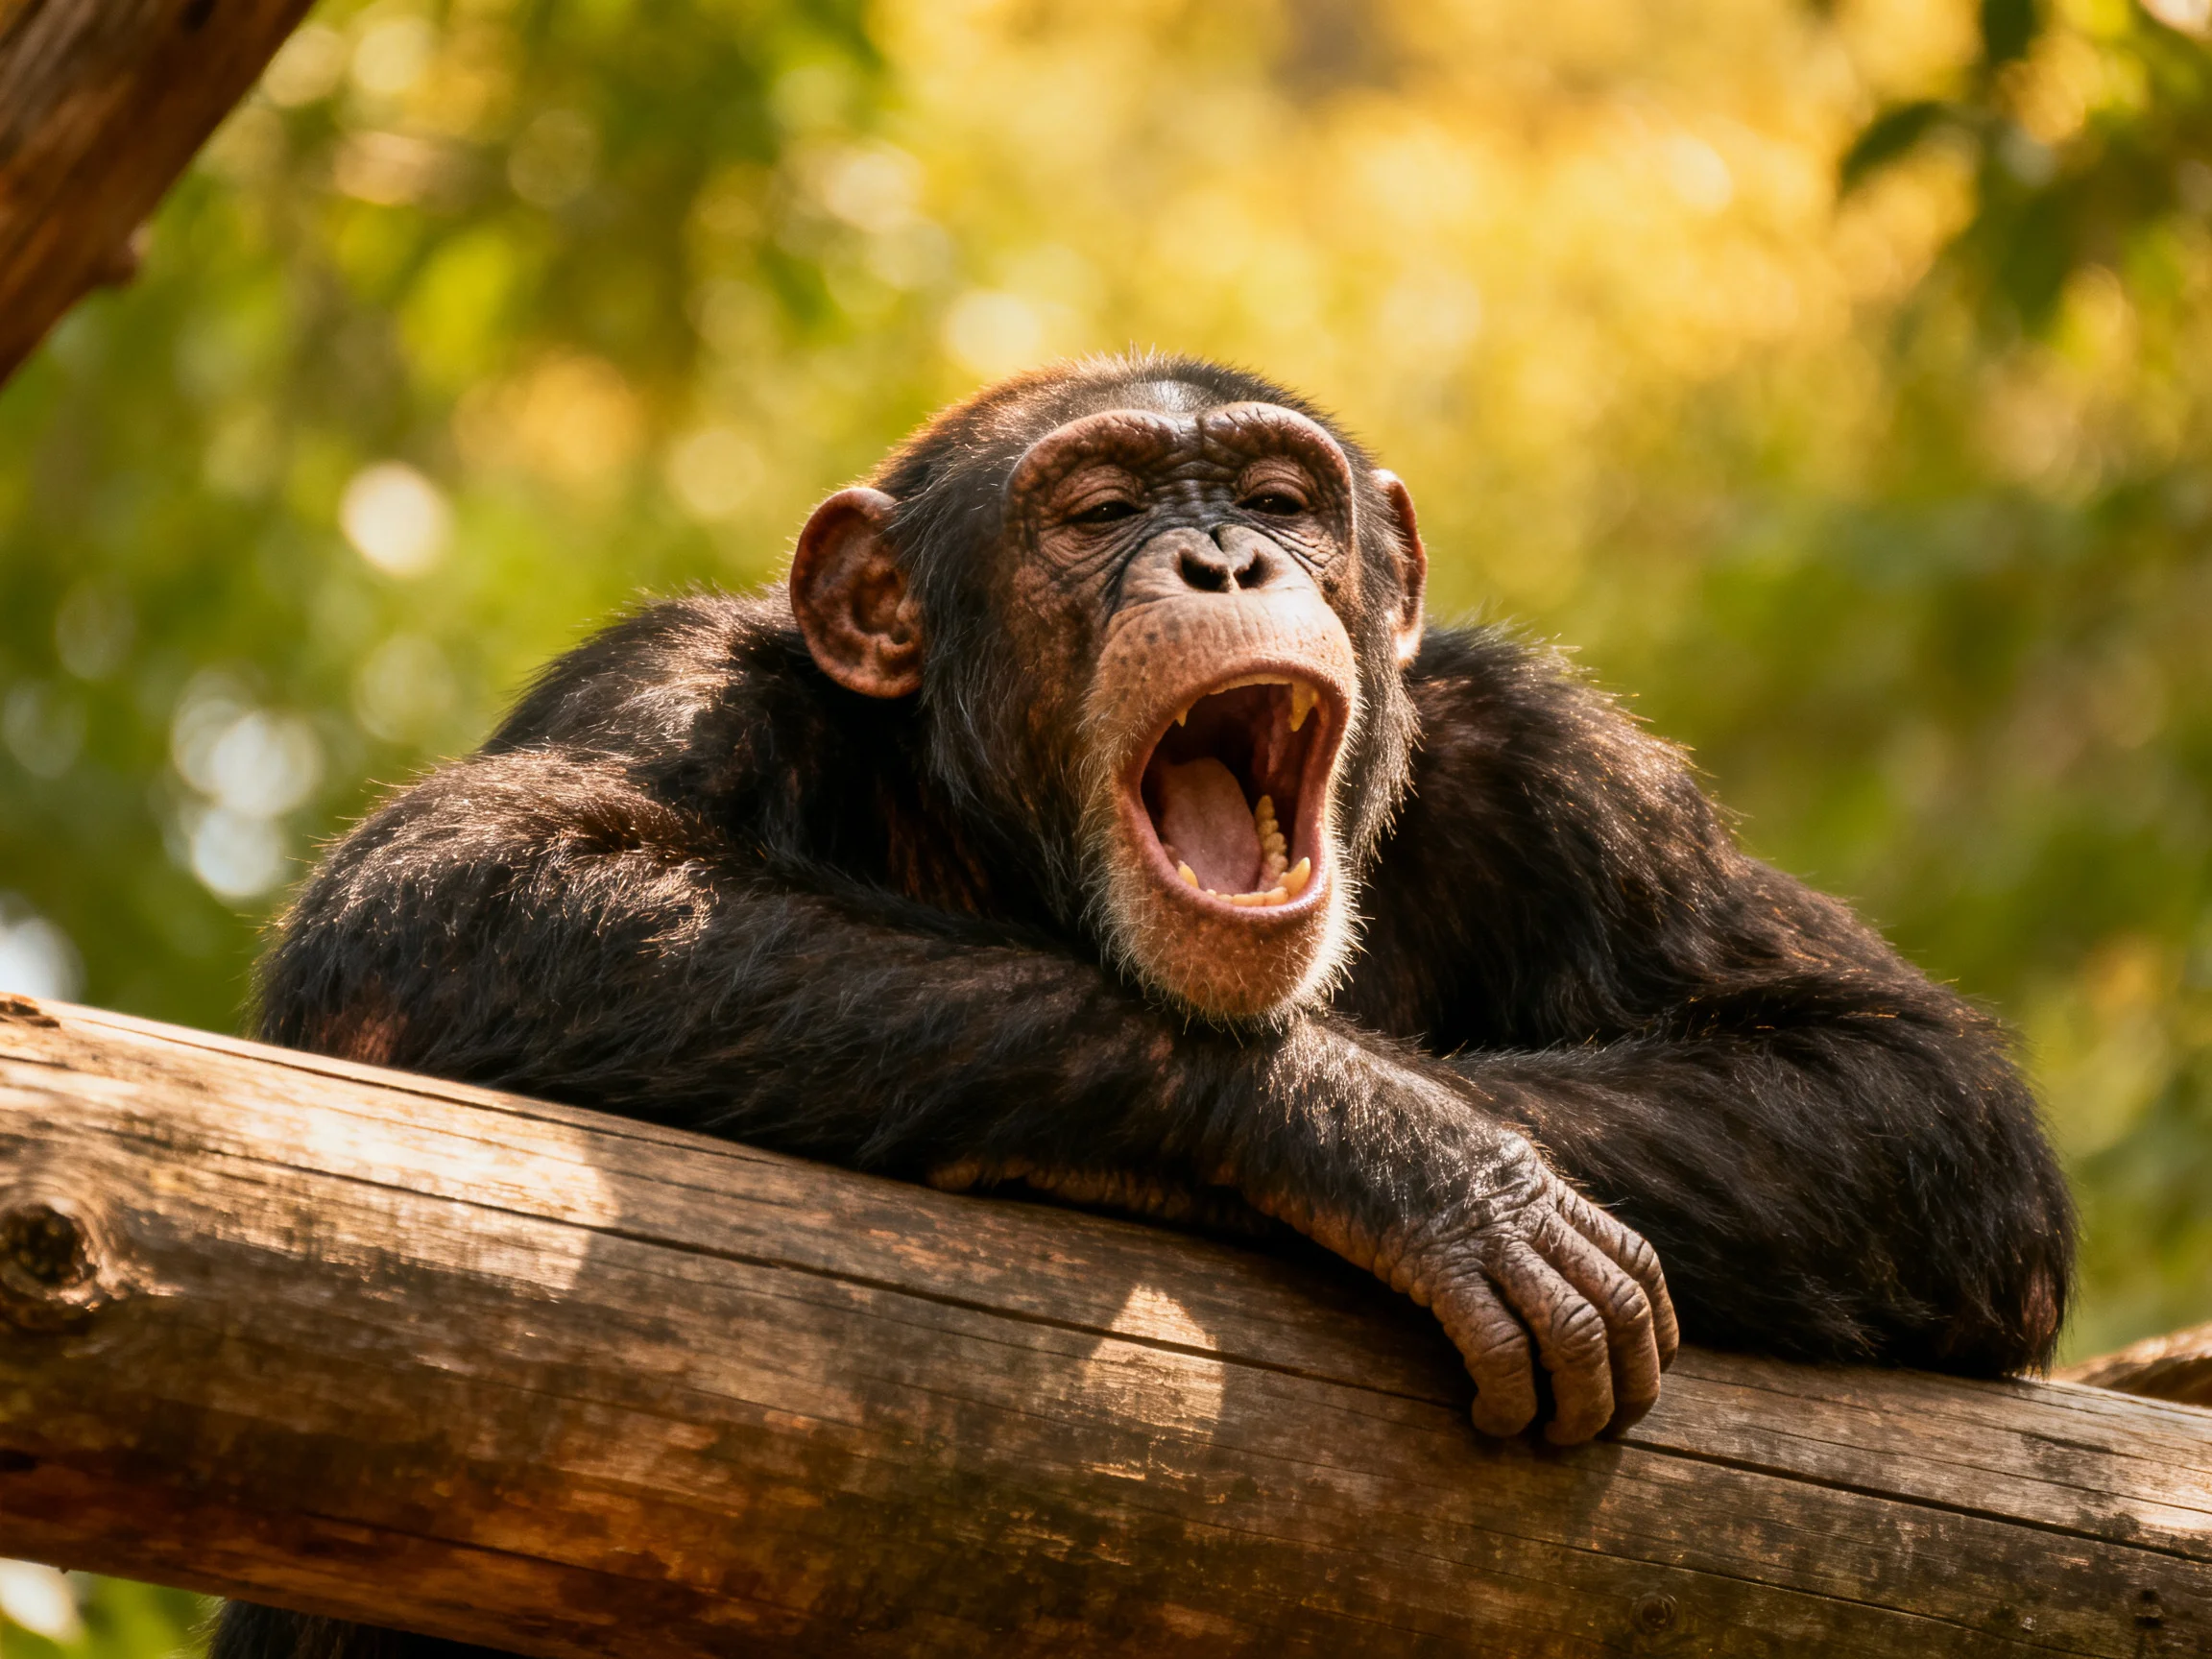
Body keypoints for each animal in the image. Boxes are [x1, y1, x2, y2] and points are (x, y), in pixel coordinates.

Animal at [214, 353, 2072, 1659]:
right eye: (1097, 507)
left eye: (1280, 492)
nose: (1223, 555)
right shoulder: (666, 685)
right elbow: (448, 896)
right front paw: (1392, 1144)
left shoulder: (1557, 759)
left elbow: (1910, 1088)